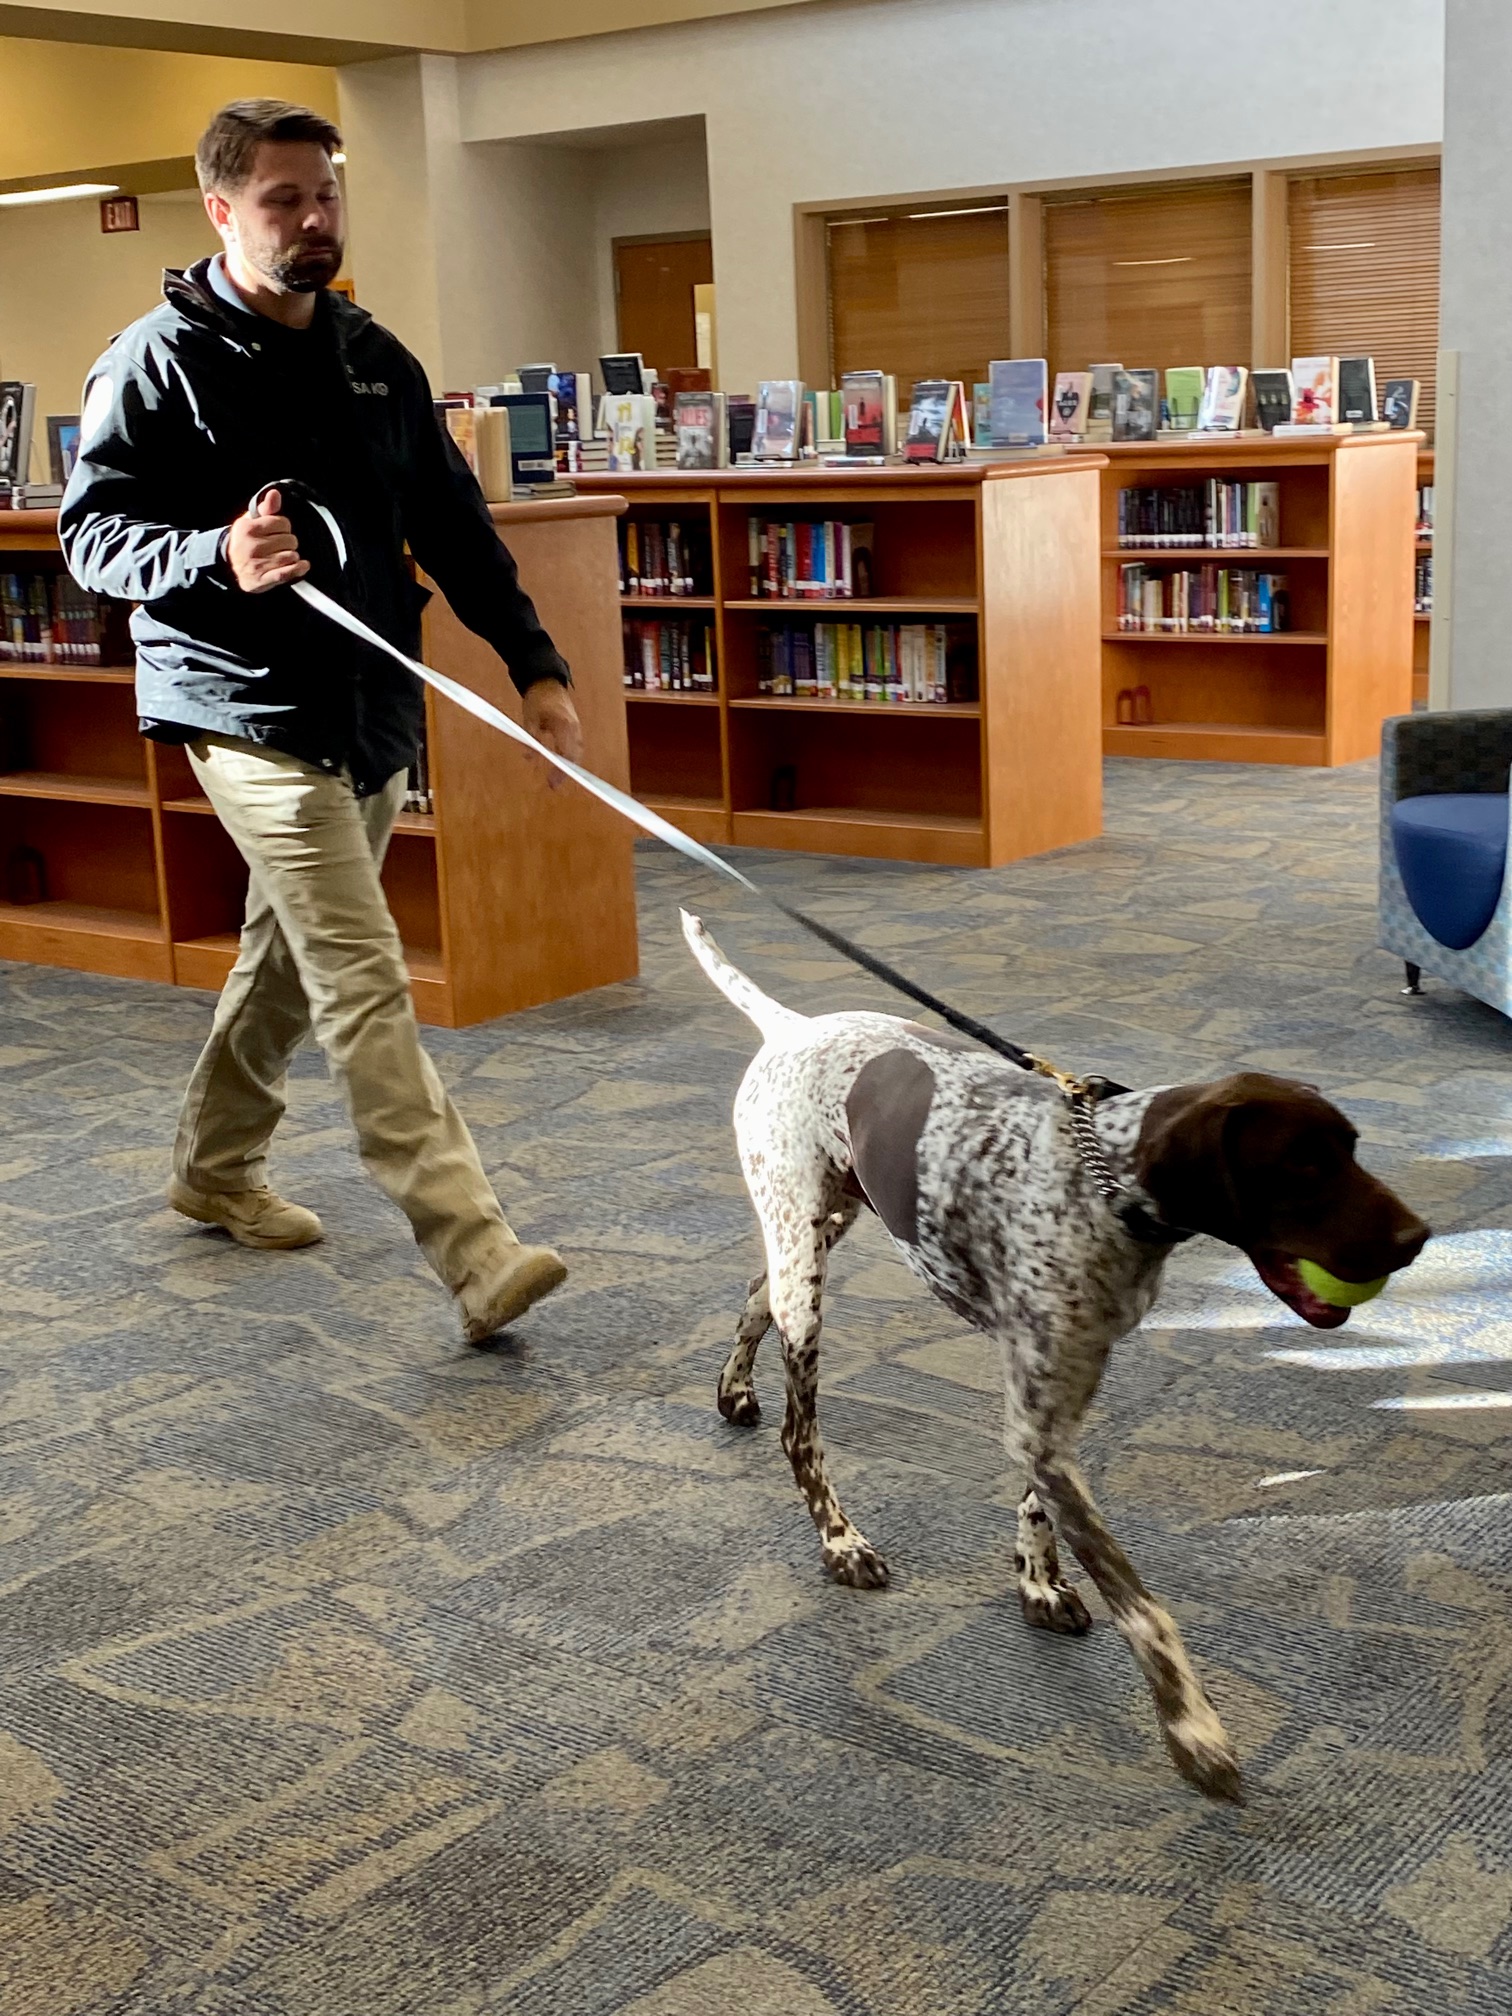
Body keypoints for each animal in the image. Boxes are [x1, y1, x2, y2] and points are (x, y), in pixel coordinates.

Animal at [685, 911, 1435, 1798]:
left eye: (1352, 1148)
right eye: (1302, 1166)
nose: (1419, 1238)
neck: (1101, 1184)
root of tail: (793, 1026)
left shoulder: (1062, 1399)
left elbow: (1039, 1506)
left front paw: (1038, 1582)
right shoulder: (1042, 1417)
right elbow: (1143, 1607)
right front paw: (1194, 1729)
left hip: (817, 1231)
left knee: (752, 1294)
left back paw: (734, 1389)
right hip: (806, 1262)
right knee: (801, 1429)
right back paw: (841, 1541)